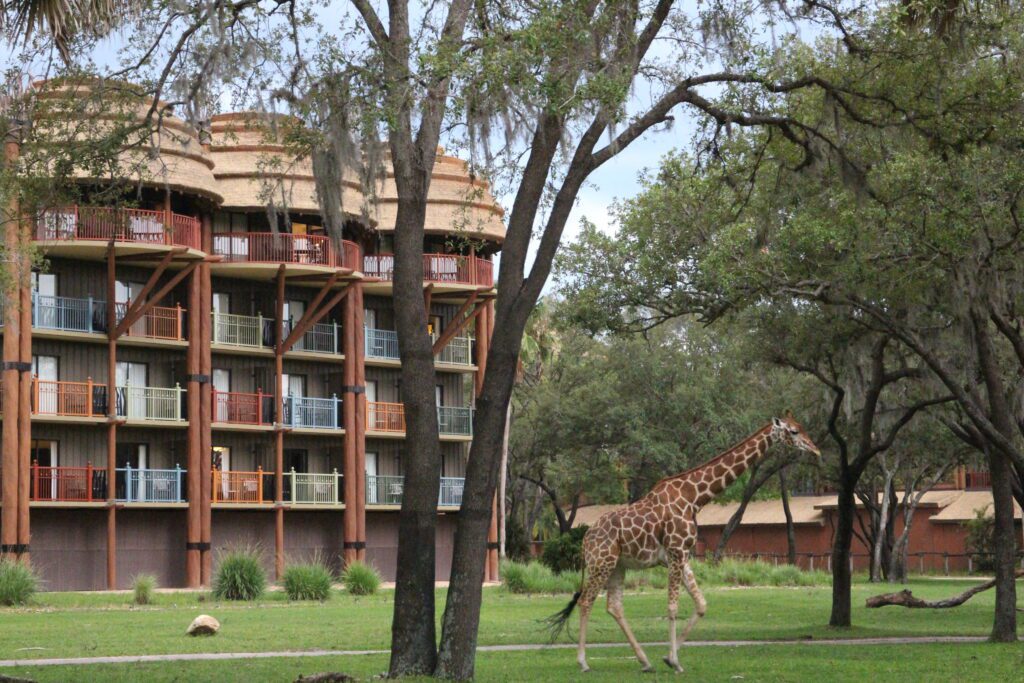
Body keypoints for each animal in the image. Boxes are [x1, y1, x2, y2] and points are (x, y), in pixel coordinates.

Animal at [548, 413, 819, 675]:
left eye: (802, 427)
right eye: (794, 431)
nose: (815, 450)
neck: (694, 498)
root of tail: (585, 538)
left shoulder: (682, 555)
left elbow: (701, 604)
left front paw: (668, 658)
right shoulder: (676, 551)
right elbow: (672, 607)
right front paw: (676, 662)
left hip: (617, 565)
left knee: (614, 606)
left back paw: (645, 662)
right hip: (601, 562)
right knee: (586, 601)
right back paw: (583, 662)